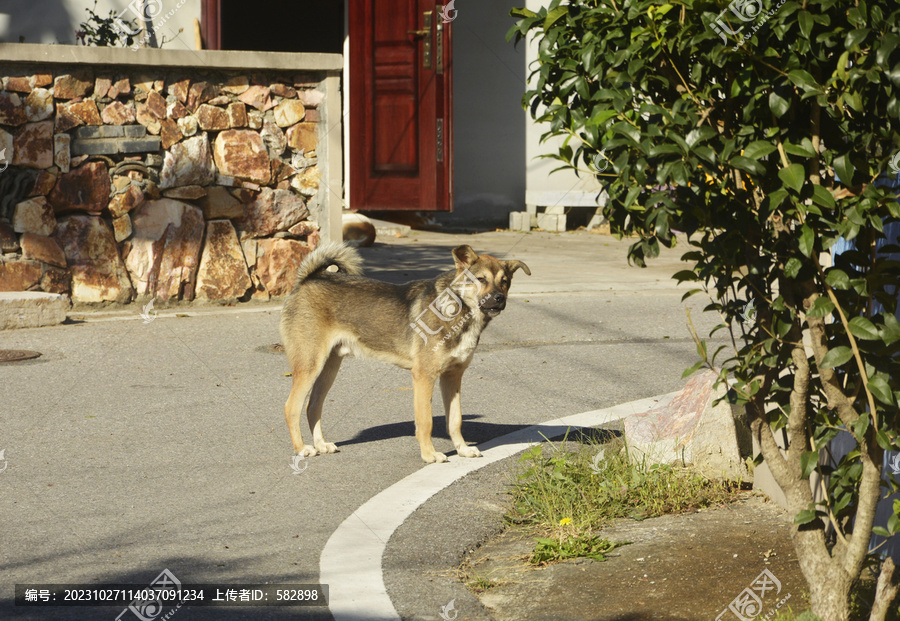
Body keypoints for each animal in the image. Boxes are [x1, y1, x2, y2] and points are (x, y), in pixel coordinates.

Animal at [282, 241, 532, 460]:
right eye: (480, 279)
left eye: (505, 281)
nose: (499, 298)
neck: (457, 309)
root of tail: (308, 279)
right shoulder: (424, 376)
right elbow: (426, 421)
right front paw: (429, 455)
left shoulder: (453, 377)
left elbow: (455, 420)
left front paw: (462, 450)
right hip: (309, 365)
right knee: (291, 407)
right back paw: (302, 448)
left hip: (329, 368)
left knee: (312, 406)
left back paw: (321, 444)